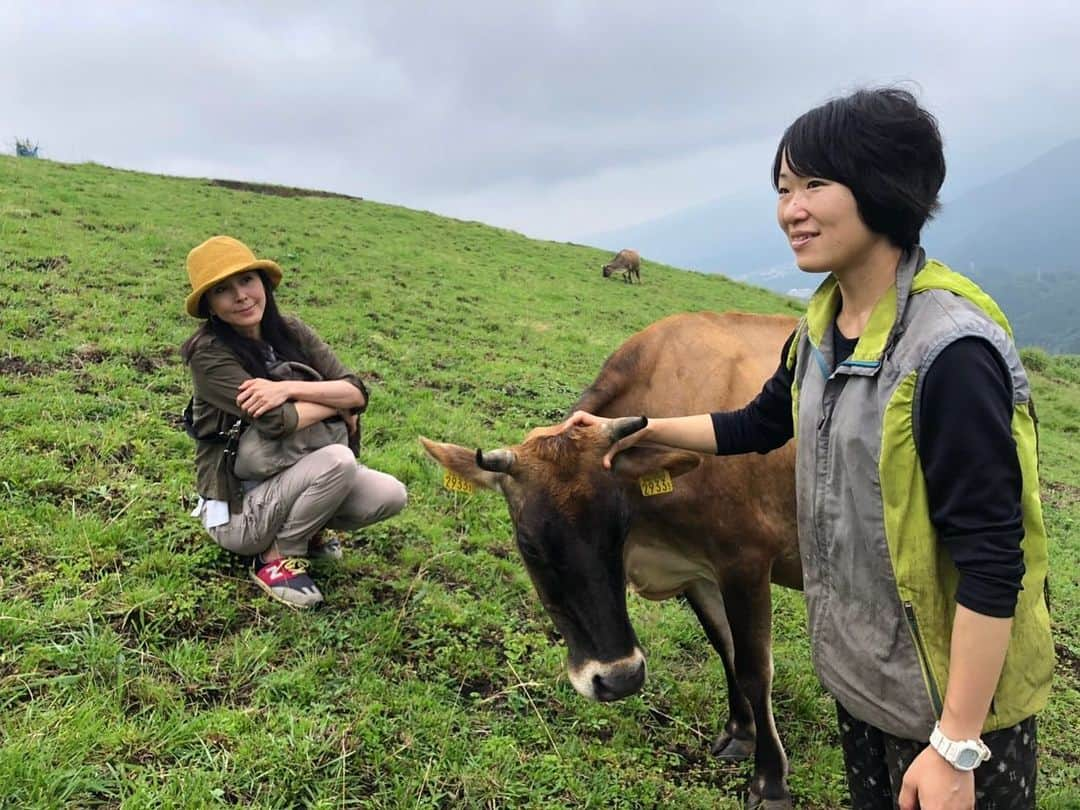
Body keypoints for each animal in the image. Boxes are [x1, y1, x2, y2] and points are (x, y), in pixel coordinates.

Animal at [421, 313, 803, 810]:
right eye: (529, 544)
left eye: (619, 527)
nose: (619, 679)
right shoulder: (695, 571)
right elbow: (728, 650)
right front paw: (740, 733)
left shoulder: (747, 560)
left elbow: (756, 670)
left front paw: (770, 782)